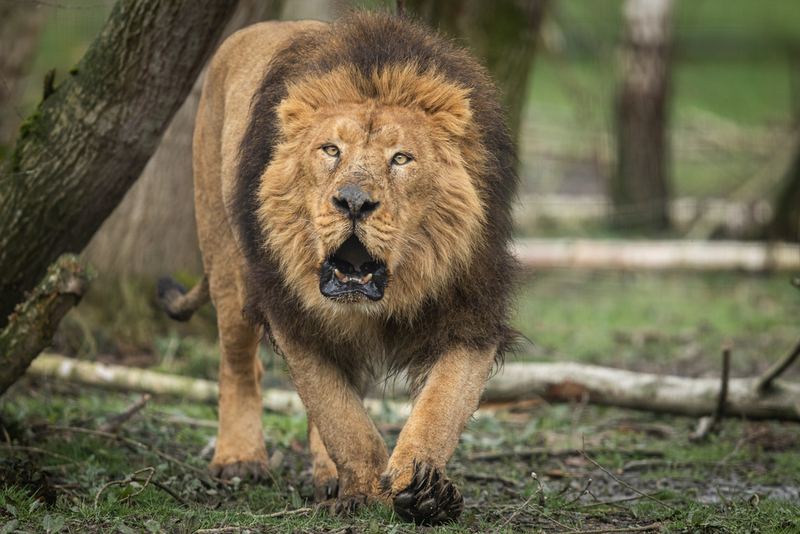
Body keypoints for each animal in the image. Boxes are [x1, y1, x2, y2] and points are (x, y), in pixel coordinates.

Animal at [158, 12, 520, 528]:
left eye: (400, 158)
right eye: (330, 150)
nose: (353, 201)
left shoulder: (470, 313)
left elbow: (441, 407)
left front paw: (422, 489)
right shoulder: (292, 314)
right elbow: (340, 415)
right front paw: (363, 490)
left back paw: (329, 476)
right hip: (223, 254)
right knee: (238, 362)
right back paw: (239, 459)